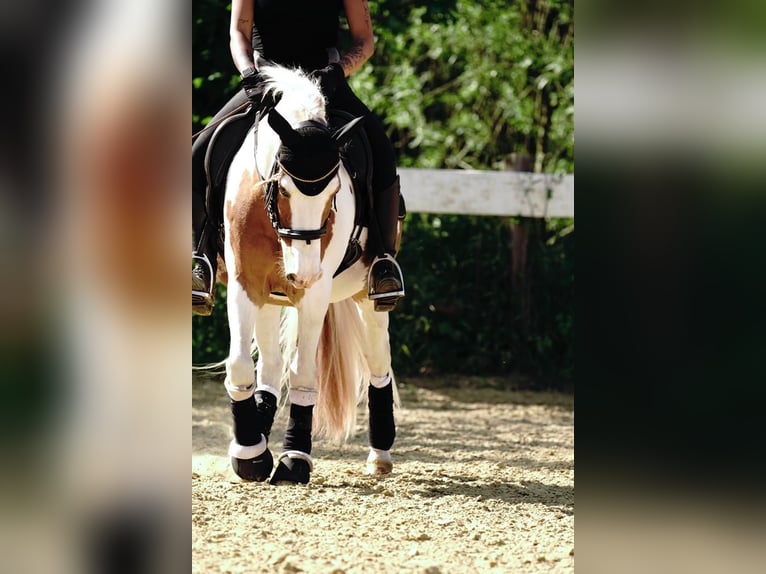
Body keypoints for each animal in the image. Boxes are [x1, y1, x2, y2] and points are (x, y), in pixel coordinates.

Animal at [218, 64, 400, 485]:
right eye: (282, 189)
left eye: (334, 192)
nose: (302, 273)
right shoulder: (244, 284)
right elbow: (240, 364)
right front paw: (250, 454)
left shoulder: (315, 295)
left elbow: (303, 373)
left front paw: (294, 458)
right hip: (270, 297)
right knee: (269, 365)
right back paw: (257, 437)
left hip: (368, 298)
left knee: (379, 361)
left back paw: (380, 455)